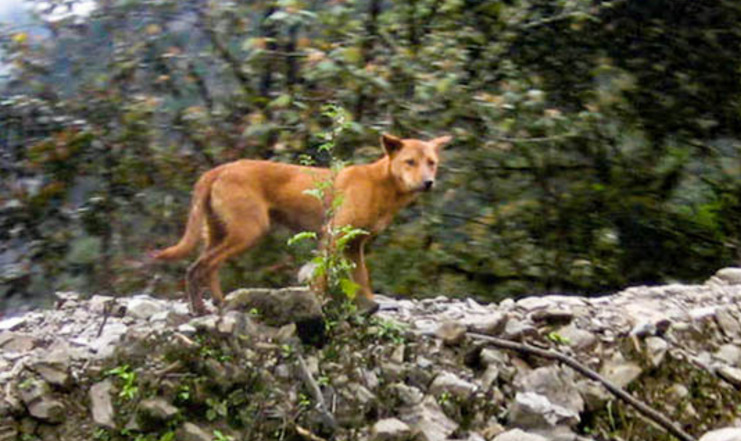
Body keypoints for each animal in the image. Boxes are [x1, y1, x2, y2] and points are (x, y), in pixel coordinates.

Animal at [153, 132, 448, 314]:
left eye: (431, 163)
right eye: (410, 162)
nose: (428, 183)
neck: (380, 186)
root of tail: (218, 169)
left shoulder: (354, 245)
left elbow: (362, 280)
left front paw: (370, 306)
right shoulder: (332, 236)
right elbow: (321, 280)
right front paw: (319, 305)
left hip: (221, 234)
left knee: (204, 267)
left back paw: (217, 303)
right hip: (249, 232)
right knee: (200, 267)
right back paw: (202, 308)